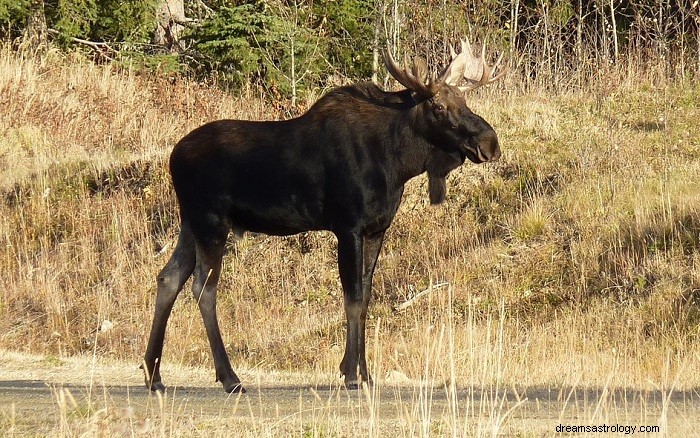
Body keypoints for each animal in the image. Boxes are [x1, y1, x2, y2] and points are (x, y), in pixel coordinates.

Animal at [143, 38, 507, 393]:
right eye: (439, 107)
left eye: (464, 99)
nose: (490, 143)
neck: (397, 162)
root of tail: (173, 156)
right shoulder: (347, 226)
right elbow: (353, 297)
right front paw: (350, 374)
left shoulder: (376, 229)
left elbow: (366, 295)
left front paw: (365, 373)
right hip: (211, 222)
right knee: (203, 288)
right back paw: (229, 377)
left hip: (190, 223)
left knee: (168, 277)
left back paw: (154, 374)